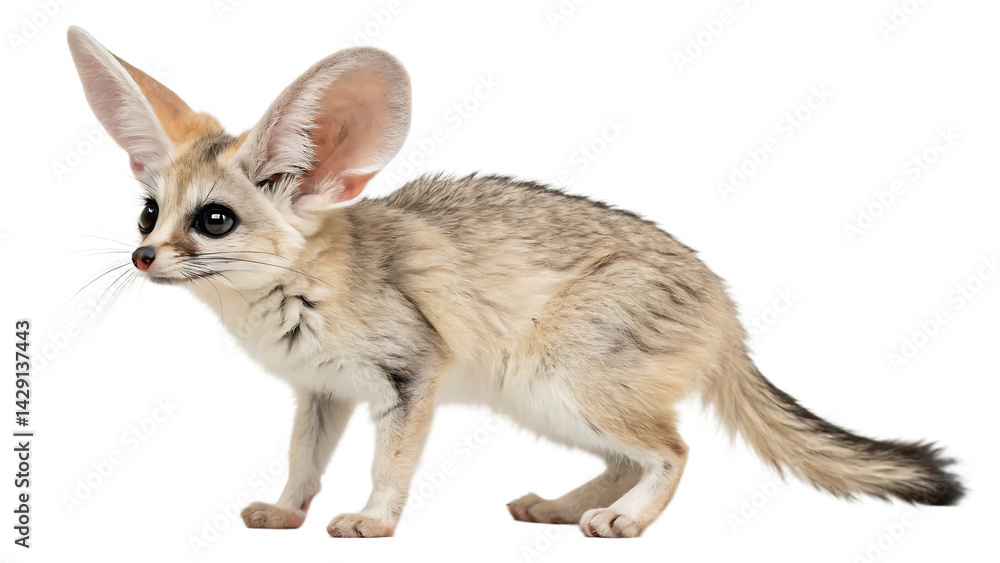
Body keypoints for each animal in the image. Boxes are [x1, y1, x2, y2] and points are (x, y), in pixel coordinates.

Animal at [67, 25, 962, 538]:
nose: (144, 258)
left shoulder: (409, 377)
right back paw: (564, 508)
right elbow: (302, 462)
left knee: (672, 449)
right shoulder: (319, 392)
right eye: (149, 214)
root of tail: (726, 306)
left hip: (563, 382)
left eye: (214, 220)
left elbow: (389, 466)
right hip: (548, 402)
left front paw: (373, 521)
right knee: (631, 458)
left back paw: (622, 521)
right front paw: (288, 512)